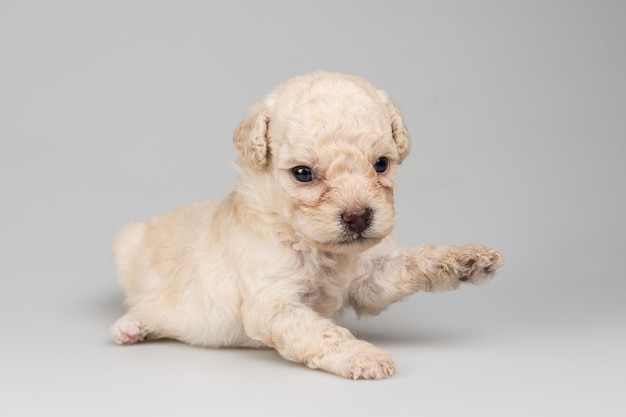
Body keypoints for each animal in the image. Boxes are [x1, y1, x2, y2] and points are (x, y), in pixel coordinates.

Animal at [111, 70, 502, 376]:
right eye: (303, 174)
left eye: (381, 164)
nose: (359, 217)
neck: (311, 243)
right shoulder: (274, 303)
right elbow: (322, 333)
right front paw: (365, 357)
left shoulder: (368, 281)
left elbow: (411, 262)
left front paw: (467, 259)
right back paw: (129, 327)